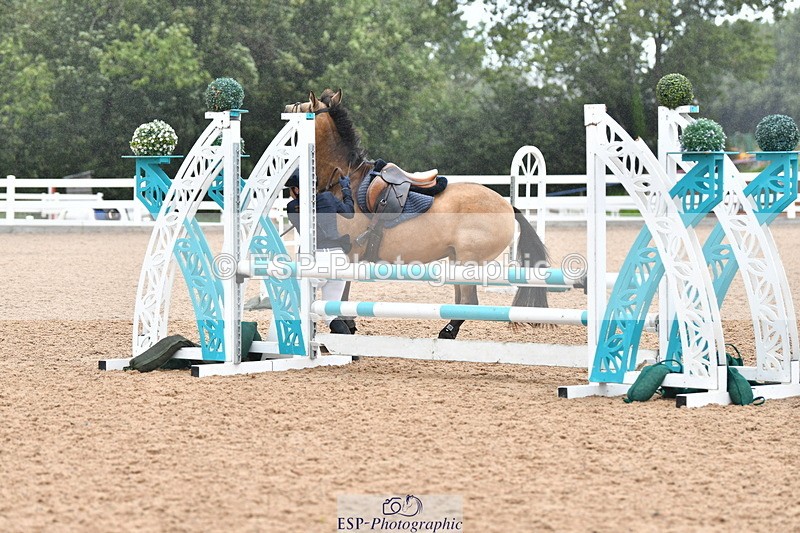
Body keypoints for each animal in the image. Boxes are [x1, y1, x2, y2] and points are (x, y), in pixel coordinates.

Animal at [284, 88, 549, 339]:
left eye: (300, 111)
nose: (286, 109)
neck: (345, 179)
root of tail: (507, 205)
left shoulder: (347, 255)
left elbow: (342, 297)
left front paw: (345, 328)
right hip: (456, 260)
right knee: (461, 302)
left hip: (468, 261)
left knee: (469, 302)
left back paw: (446, 332)